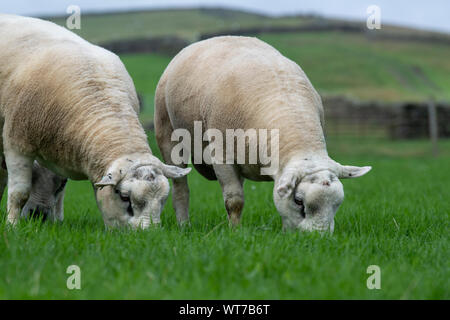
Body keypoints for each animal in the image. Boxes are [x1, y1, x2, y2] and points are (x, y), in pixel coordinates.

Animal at [0, 13, 190, 228]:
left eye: (163, 201)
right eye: (125, 197)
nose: (148, 233)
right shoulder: (17, 144)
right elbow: (19, 193)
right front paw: (12, 227)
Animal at [155, 35, 370, 232]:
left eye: (337, 205)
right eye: (299, 201)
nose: (318, 238)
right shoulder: (222, 156)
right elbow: (234, 201)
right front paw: (235, 233)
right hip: (167, 133)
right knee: (181, 187)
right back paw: (184, 225)